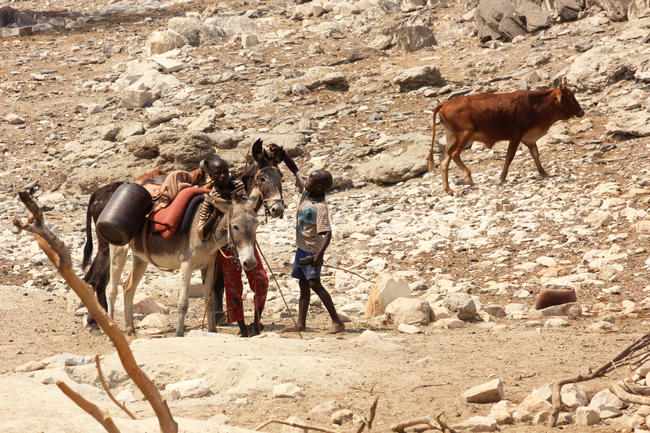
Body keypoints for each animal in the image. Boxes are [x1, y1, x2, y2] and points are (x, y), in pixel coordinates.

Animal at [428, 83, 584, 194]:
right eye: (570, 97)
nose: (581, 111)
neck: (536, 105)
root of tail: (445, 103)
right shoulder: (516, 136)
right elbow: (509, 156)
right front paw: (502, 178)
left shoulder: (529, 139)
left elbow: (535, 154)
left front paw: (544, 173)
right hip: (464, 134)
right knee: (454, 154)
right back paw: (468, 177)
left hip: (451, 136)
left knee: (443, 159)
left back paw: (448, 188)